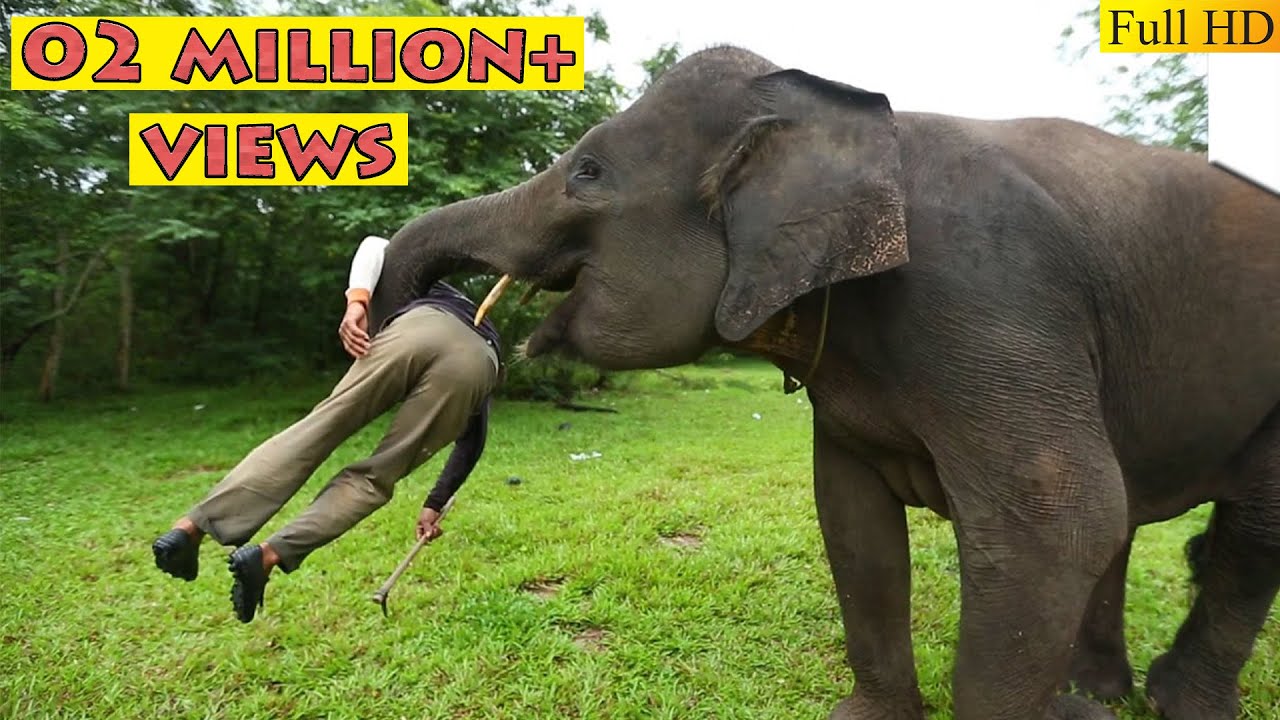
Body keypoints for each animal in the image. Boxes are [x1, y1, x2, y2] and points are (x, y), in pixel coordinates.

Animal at [366, 45, 1280, 720]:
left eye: (587, 173)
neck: (845, 118)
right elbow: (850, 514)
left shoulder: (993, 289)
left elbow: (1059, 516)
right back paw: (1095, 698)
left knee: (1242, 529)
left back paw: (1170, 704)